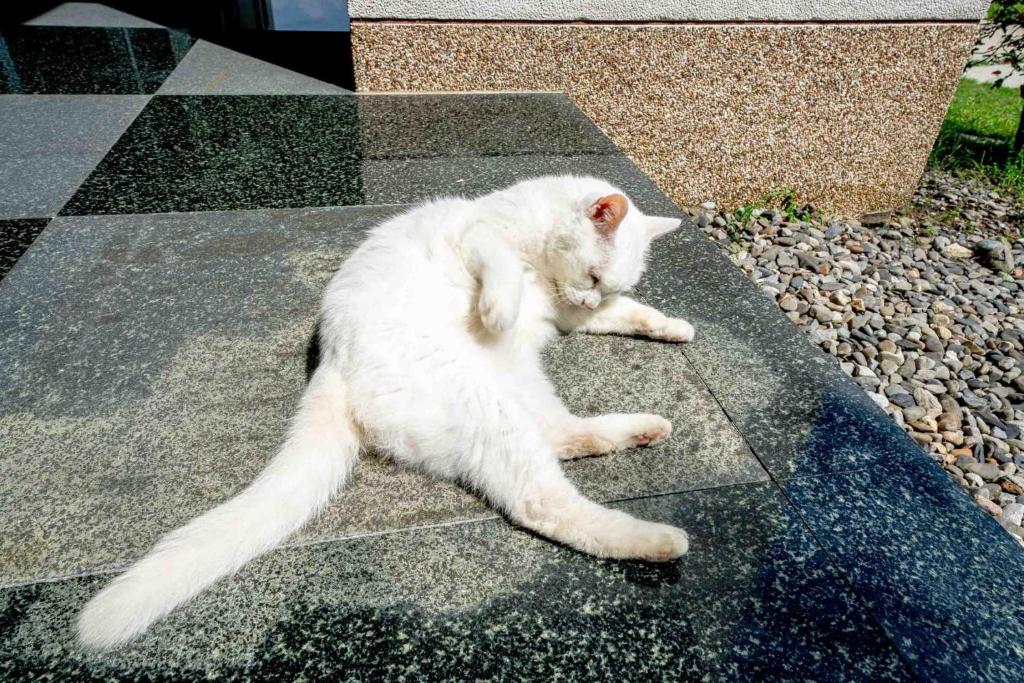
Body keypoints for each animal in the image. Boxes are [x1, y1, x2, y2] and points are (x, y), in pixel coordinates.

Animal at [77, 174, 696, 651]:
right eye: (593, 276)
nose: (589, 296)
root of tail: (333, 365)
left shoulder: (570, 315)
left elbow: (631, 313)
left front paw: (675, 326)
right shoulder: (477, 234)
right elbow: (497, 263)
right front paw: (499, 306)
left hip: (520, 388)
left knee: (559, 437)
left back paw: (642, 434)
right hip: (487, 400)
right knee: (540, 499)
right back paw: (659, 538)